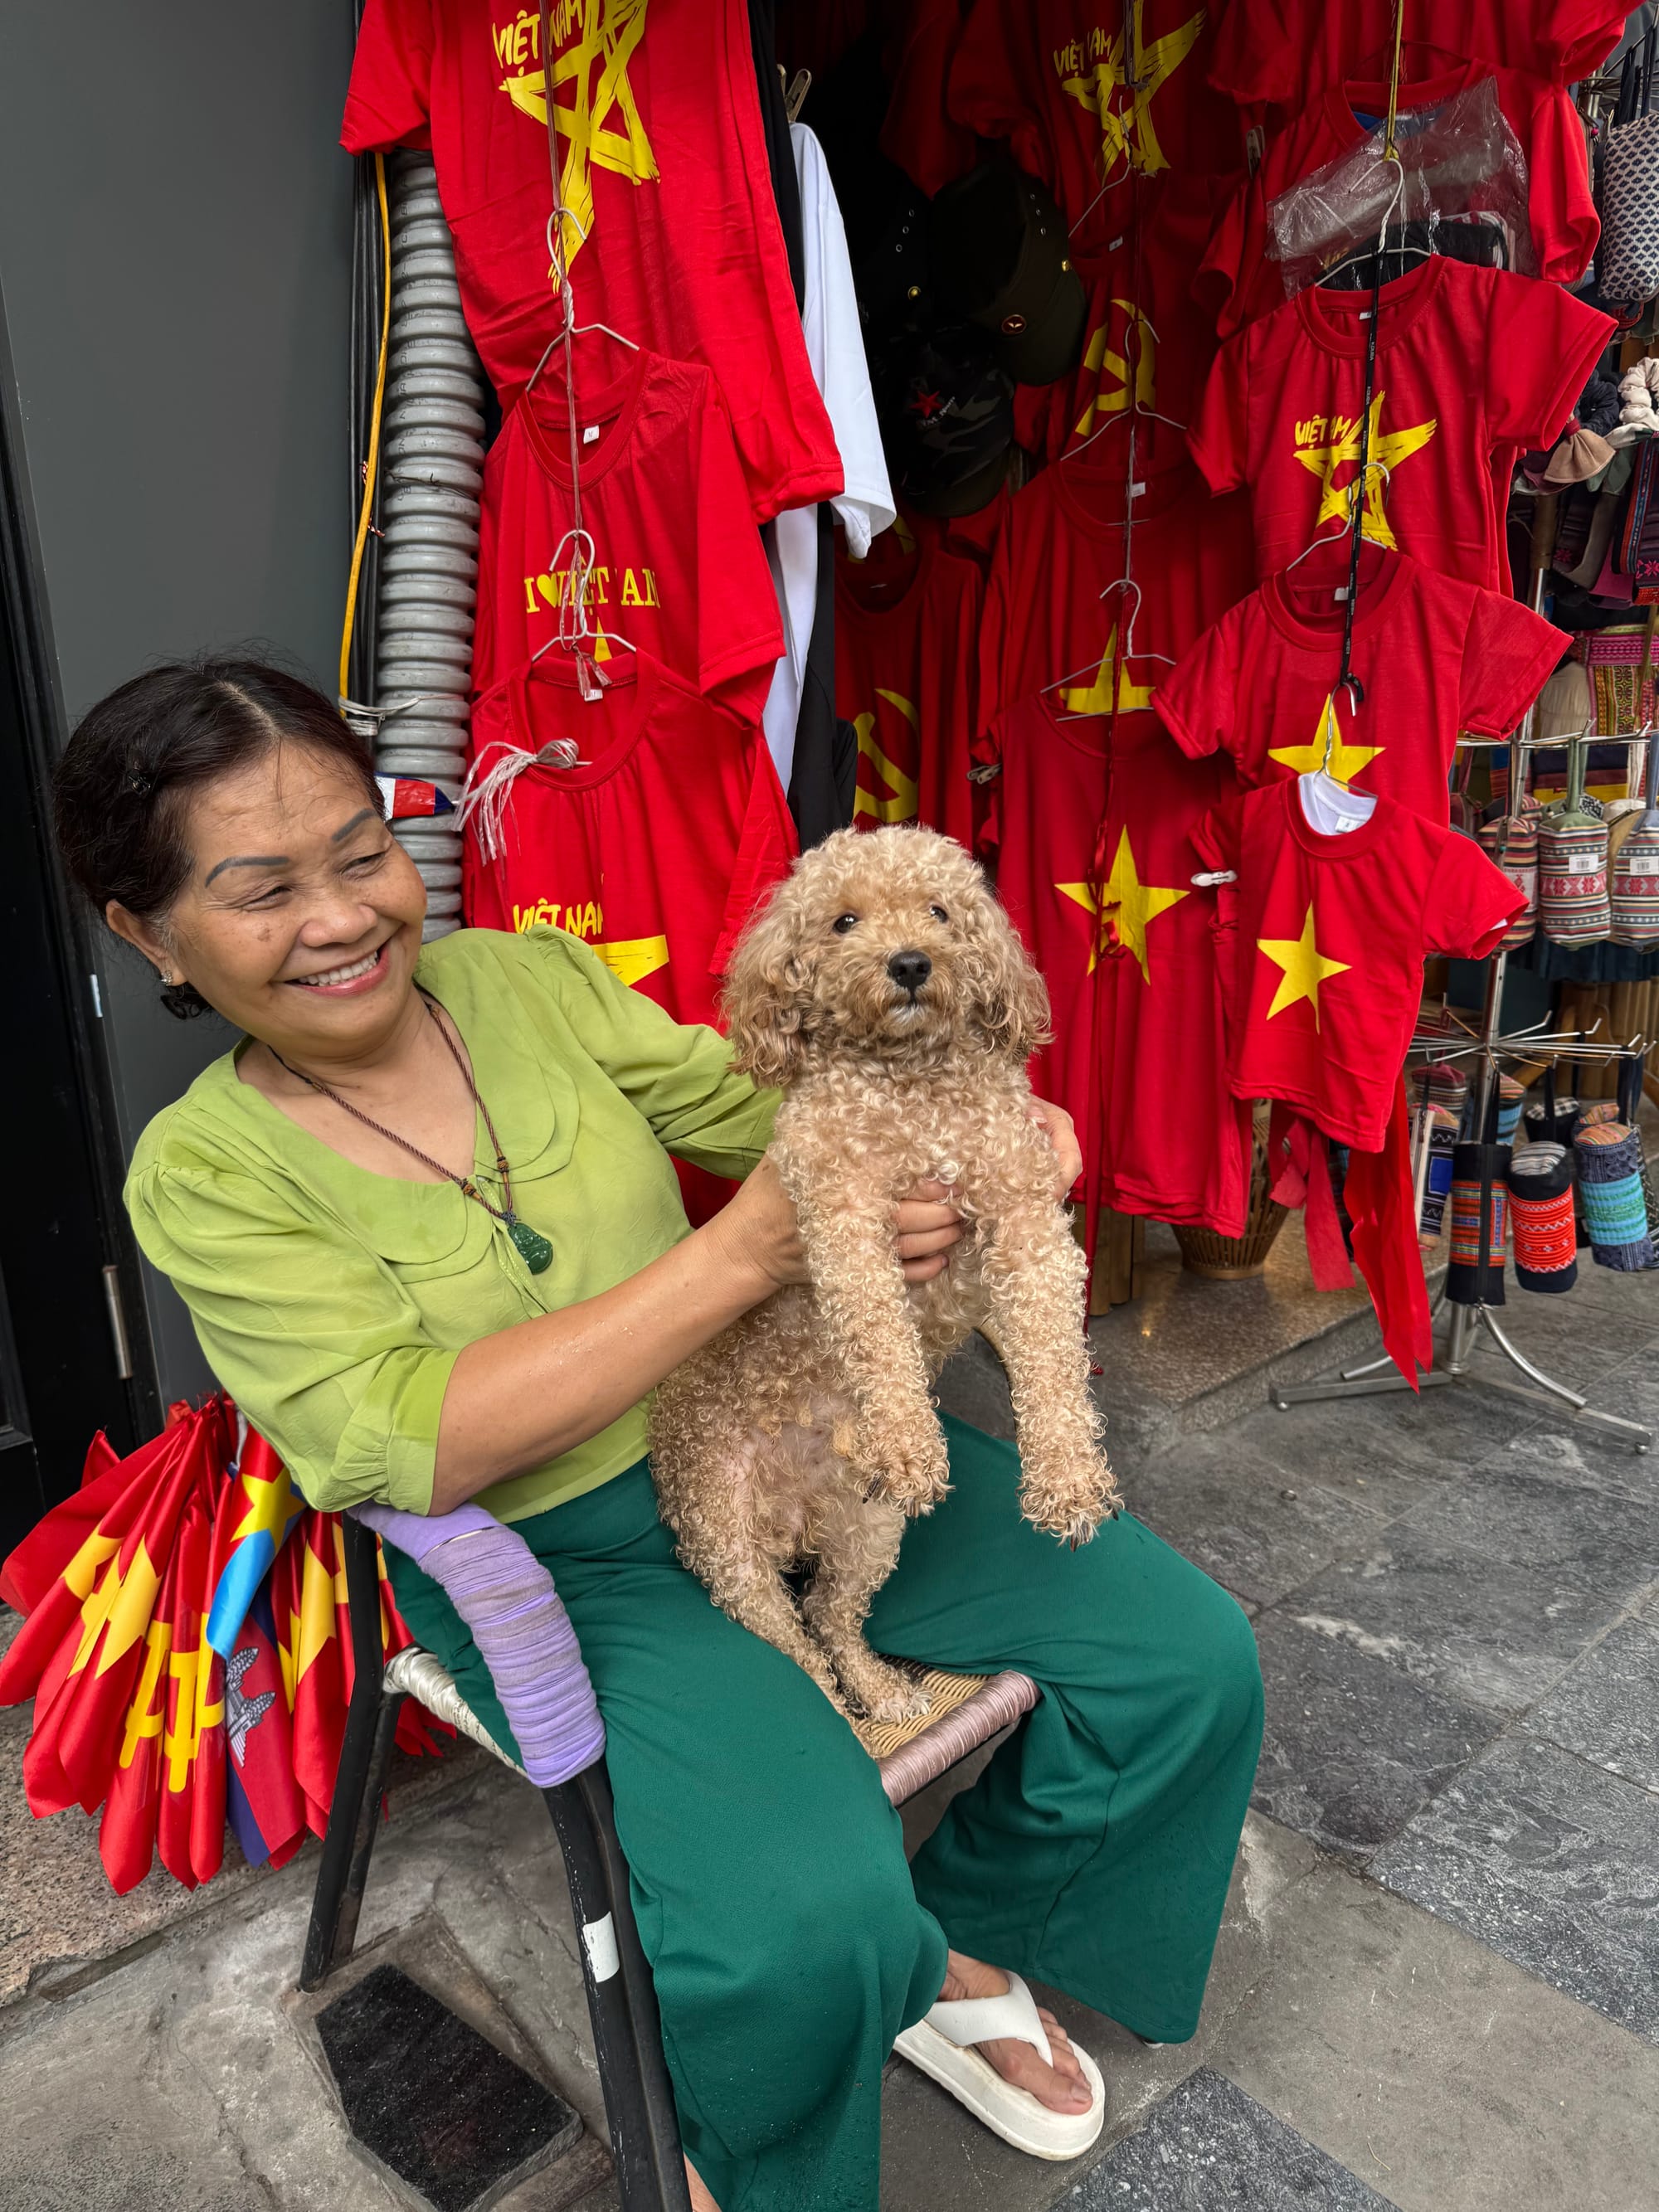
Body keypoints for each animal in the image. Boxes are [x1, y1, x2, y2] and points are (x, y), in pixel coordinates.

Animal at [649, 826, 1119, 1722]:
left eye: (938, 910)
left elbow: (1051, 1354)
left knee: (834, 1614)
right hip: (726, 1542)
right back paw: (842, 1713)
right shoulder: (841, 1218)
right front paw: (906, 1442)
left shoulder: (1025, 1217)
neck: (912, 1090)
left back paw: (879, 1689)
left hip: (869, 1531)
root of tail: (792, 1518)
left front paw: (1068, 1480)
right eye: (842, 921)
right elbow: (875, 1332)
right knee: (796, 1648)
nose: (908, 963)